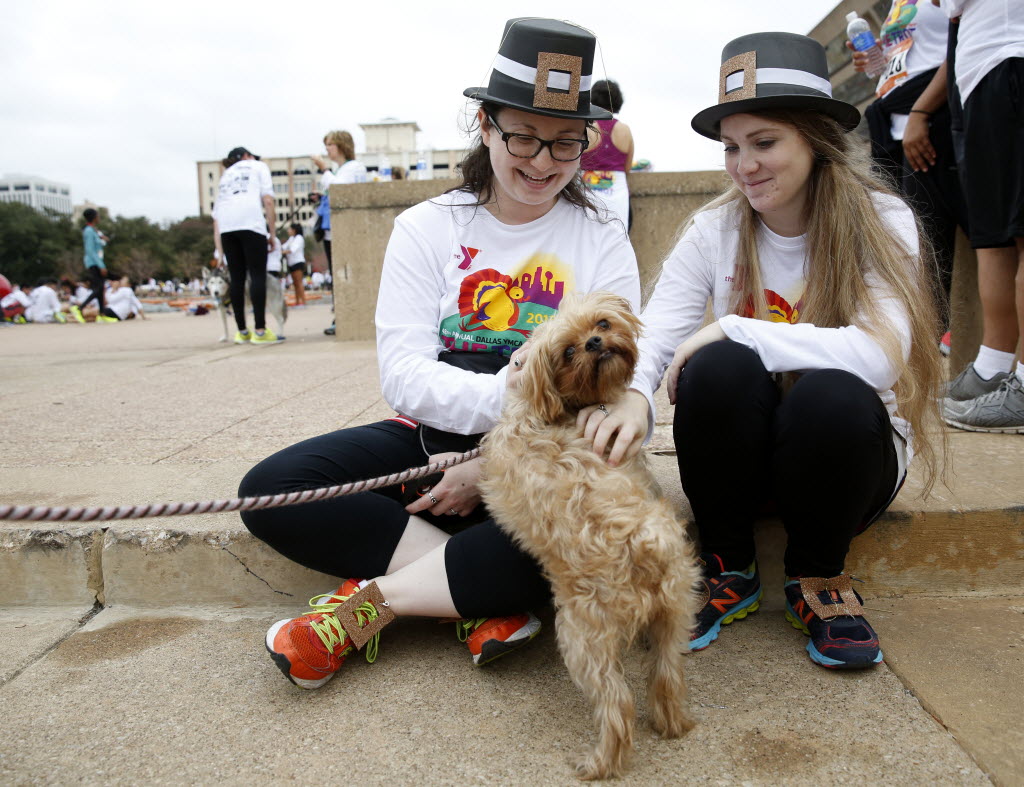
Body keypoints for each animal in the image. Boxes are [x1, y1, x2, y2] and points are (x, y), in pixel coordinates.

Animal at [481, 290, 704, 777]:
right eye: (567, 351)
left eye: (600, 322)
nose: (595, 342)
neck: (547, 409)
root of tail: (638, 543)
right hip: (674, 617)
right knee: (664, 677)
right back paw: (672, 724)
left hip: (581, 639)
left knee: (617, 706)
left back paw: (600, 763)